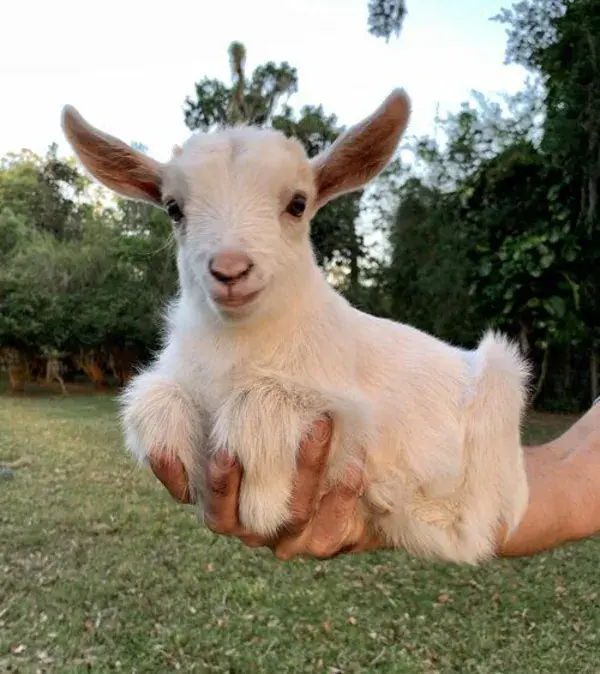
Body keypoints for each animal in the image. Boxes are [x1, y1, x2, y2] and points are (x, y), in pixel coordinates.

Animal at [61, 89, 528, 560]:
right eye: (174, 209)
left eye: (298, 204)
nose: (230, 270)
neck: (242, 343)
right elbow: (154, 401)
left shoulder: (355, 415)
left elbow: (265, 406)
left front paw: (265, 500)